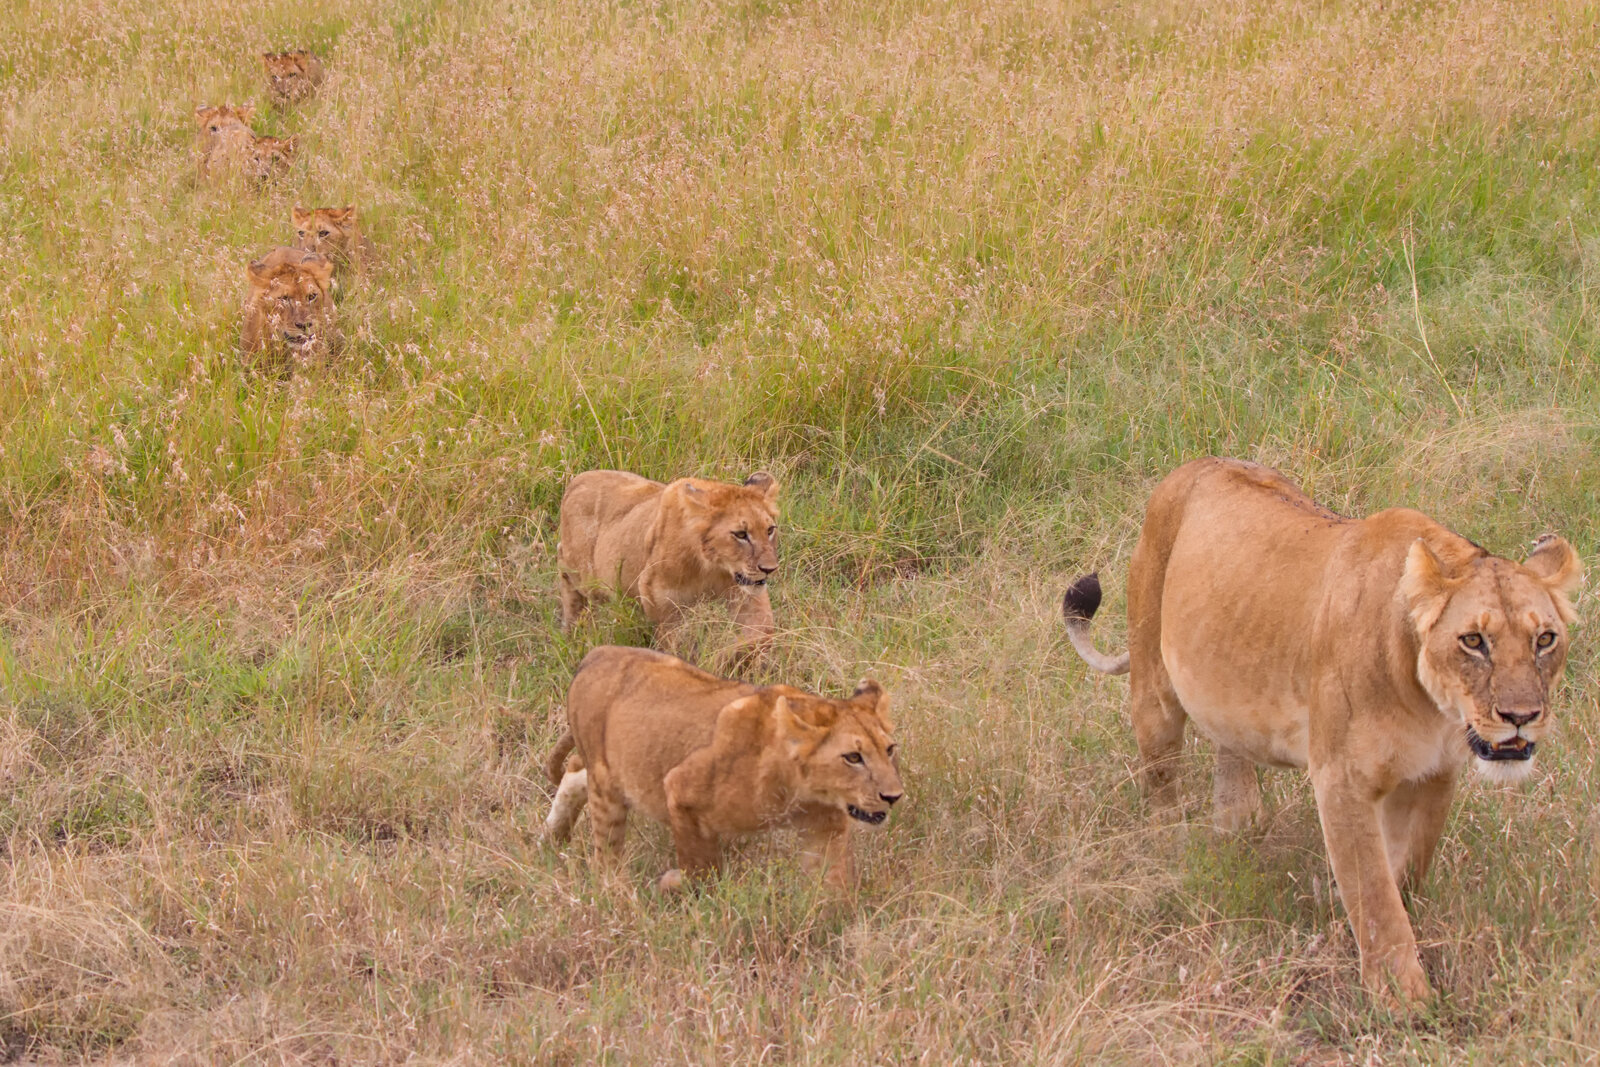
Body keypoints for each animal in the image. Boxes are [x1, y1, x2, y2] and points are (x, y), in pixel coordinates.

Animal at [542, 646, 903, 890]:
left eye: (889, 749)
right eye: (853, 757)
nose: (894, 796)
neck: (800, 790)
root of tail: (595, 654)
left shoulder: (826, 828)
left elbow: (835, 884)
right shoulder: (680, 789)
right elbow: (700, 868)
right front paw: (675, 883)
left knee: (574, 770)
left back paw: (551, 838)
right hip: (608, 790)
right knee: (605, 854)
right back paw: (611, 889)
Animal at [557, 470, 781, 652]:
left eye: (769, 530)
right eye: (741, 534)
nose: (770, 569)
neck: (711, 568)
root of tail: (577, 480)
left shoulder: (746, 596)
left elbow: (759, 634)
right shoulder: (662, 602)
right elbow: (673, 645)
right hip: (584, 575)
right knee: (564, 566)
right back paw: (571, 628)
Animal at [1062, 457, 1582, 1004]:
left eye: (1545, 639)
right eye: (1474, 641)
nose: (1522, 715)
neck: (1430, 705)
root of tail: (1195, 465)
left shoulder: (1434, 775)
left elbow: (1406, 871)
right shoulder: (1342, 779)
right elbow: (1375, 895)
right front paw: (1404, 1000)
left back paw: (1238, 827)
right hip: (1154, 687)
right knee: (1160, 783)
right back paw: (1169, 855)